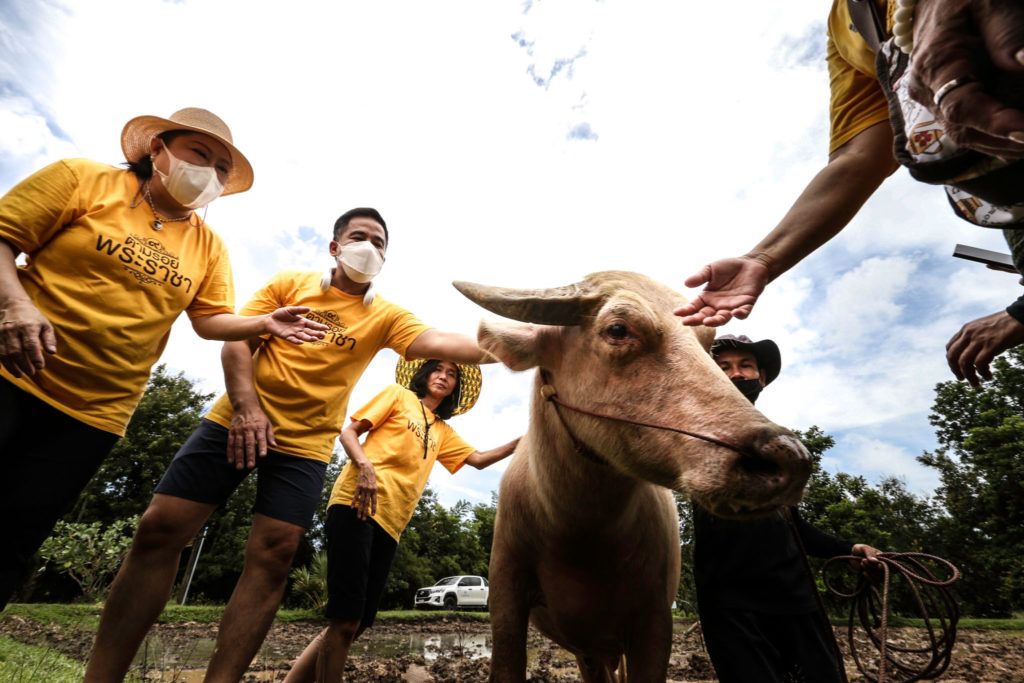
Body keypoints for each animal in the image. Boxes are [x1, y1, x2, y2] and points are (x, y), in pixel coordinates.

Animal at [454, 270, 806, 679]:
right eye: (619, 329)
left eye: (706, 344)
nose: (789, 457)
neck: (580, 534)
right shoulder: (507, 601)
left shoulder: (655, 620)